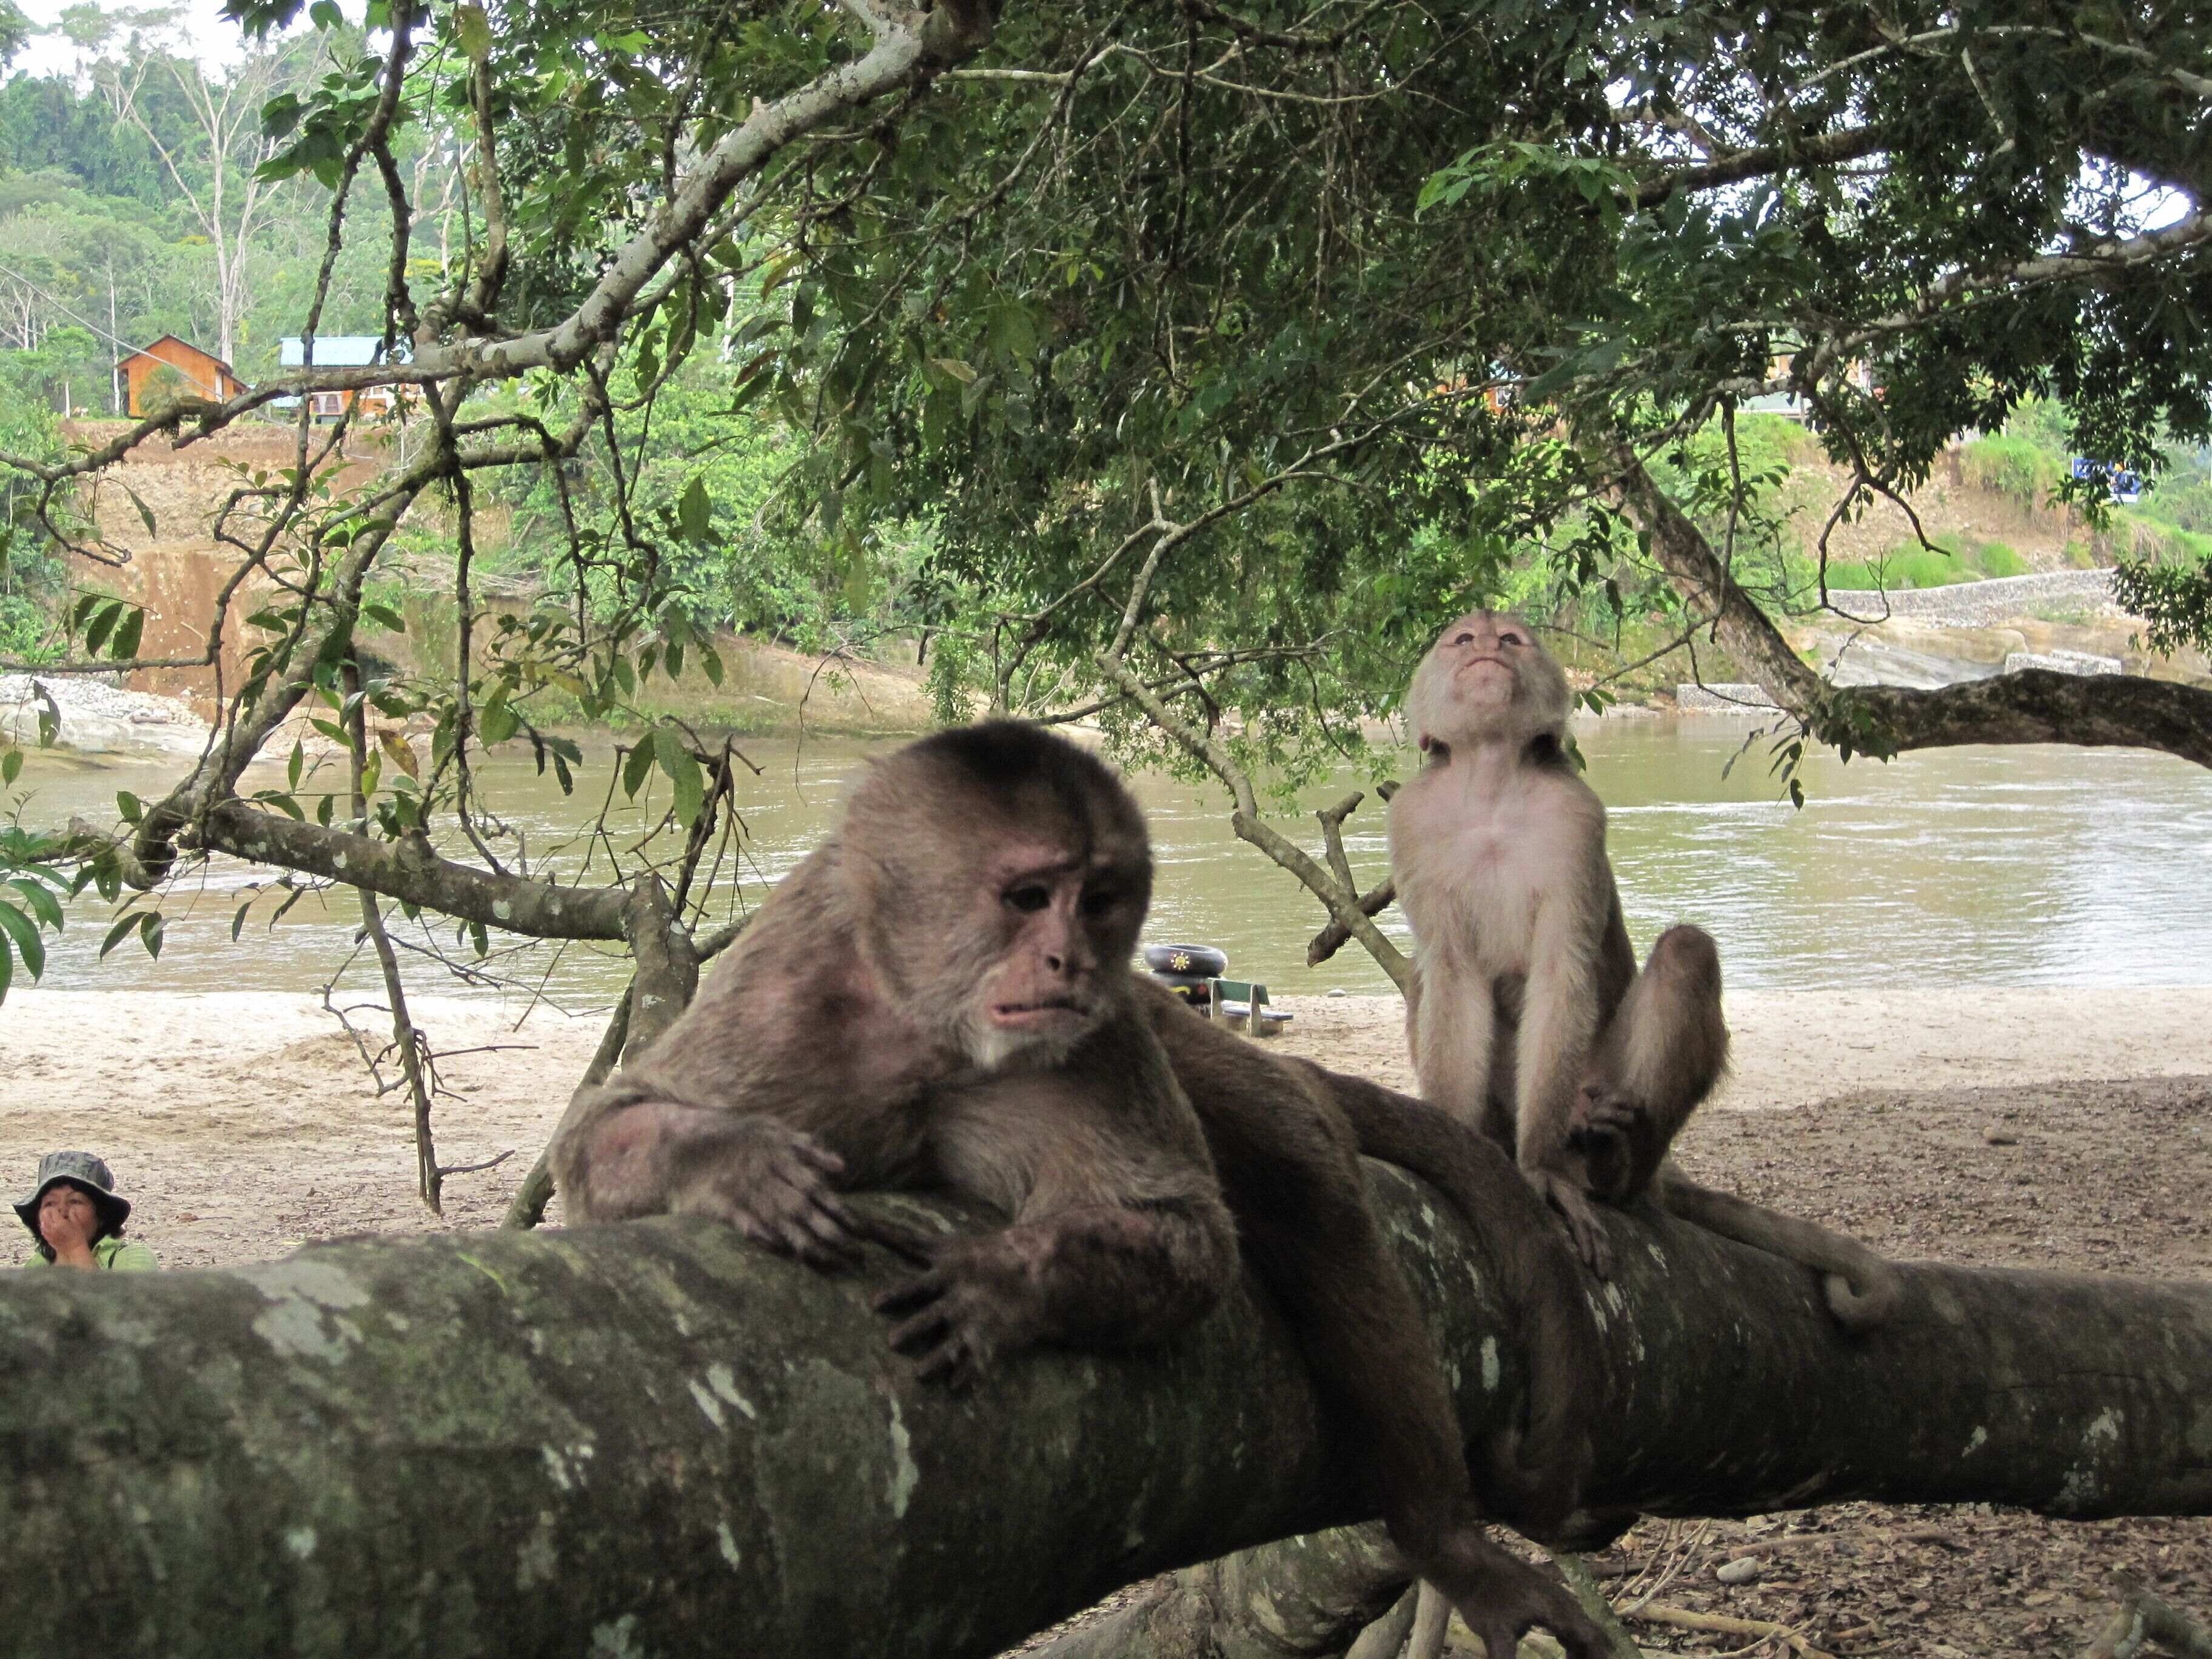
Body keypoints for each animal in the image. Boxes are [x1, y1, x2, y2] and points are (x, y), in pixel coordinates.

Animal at [553, 720, 1610, 1659]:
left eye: (1098, 900)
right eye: (1028, 898)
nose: (1070, 957)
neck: (927, 1024)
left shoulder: (1099, 1031)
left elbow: (1189, 1236)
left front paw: (1007, 1281)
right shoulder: (786, 992)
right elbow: (596, 1138)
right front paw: (738, 1162)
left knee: (1308, 1178)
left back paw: (1443, 1538)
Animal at [1388, 610, 1901, 1329]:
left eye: (1511, 641)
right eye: (1464, 641)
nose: (1488, 644)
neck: (1489, 784)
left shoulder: (1575, 816)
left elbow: (1563, 971)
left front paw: (1538, 1169)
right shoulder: (1412, 822)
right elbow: (1452, 974)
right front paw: (1461, 1150)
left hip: (1598, 1081)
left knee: (1685, 955)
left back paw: (1616, 1167)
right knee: (1421, 976)